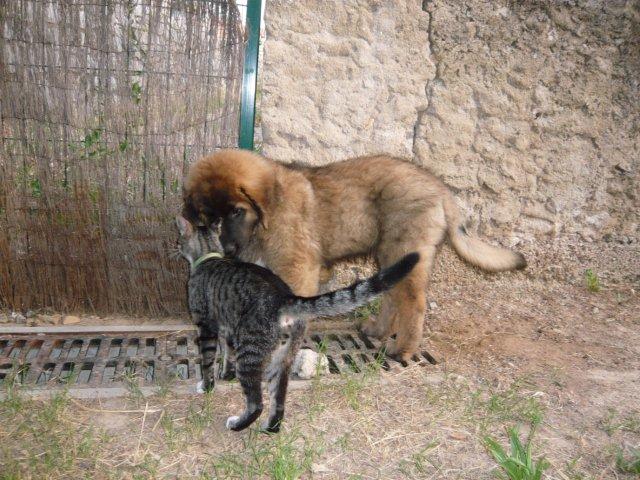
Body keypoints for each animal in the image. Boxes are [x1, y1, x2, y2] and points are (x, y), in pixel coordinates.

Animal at [175, 215, 419, 433]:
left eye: (179, 239)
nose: (175, 247)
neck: (209, 256)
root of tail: (283, 297)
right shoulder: (226, 328)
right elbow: (227, 354)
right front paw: (225, 374)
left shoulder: (206, 326)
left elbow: (208, 360)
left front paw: (207, 386)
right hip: (282, 357)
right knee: (279, 399)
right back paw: (270, 428)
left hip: (251, 353)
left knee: (257, 402)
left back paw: (238, 425)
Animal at [182, 149, 526, 361]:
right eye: (206, 217)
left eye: (236, 212)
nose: (227, 250)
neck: (269, 212)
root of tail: (441, 189)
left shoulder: (297, 266)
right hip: (391, 255)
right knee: (392, 295)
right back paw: (378, 331)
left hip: (404, 249)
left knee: (413, 302)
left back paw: (404, 349)